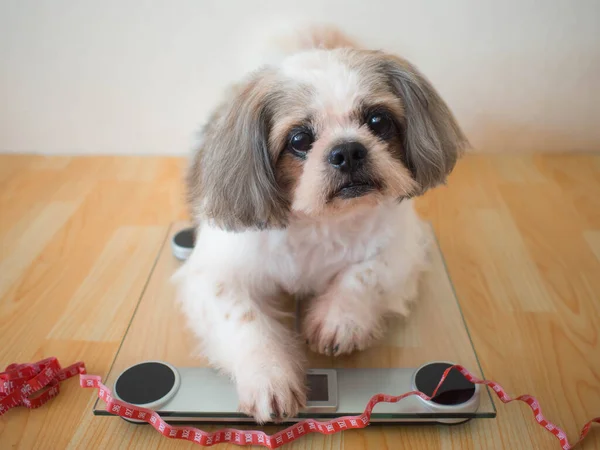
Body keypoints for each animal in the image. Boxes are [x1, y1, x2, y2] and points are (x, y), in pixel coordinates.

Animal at [171, 24, 466, 424]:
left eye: (377, 121)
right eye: (299, 139)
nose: (348, 150)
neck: (319, 222)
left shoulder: (402, 248)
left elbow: (363, 275)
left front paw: (338, 319)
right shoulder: (214, 276)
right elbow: (244, 320)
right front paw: (269, 375)